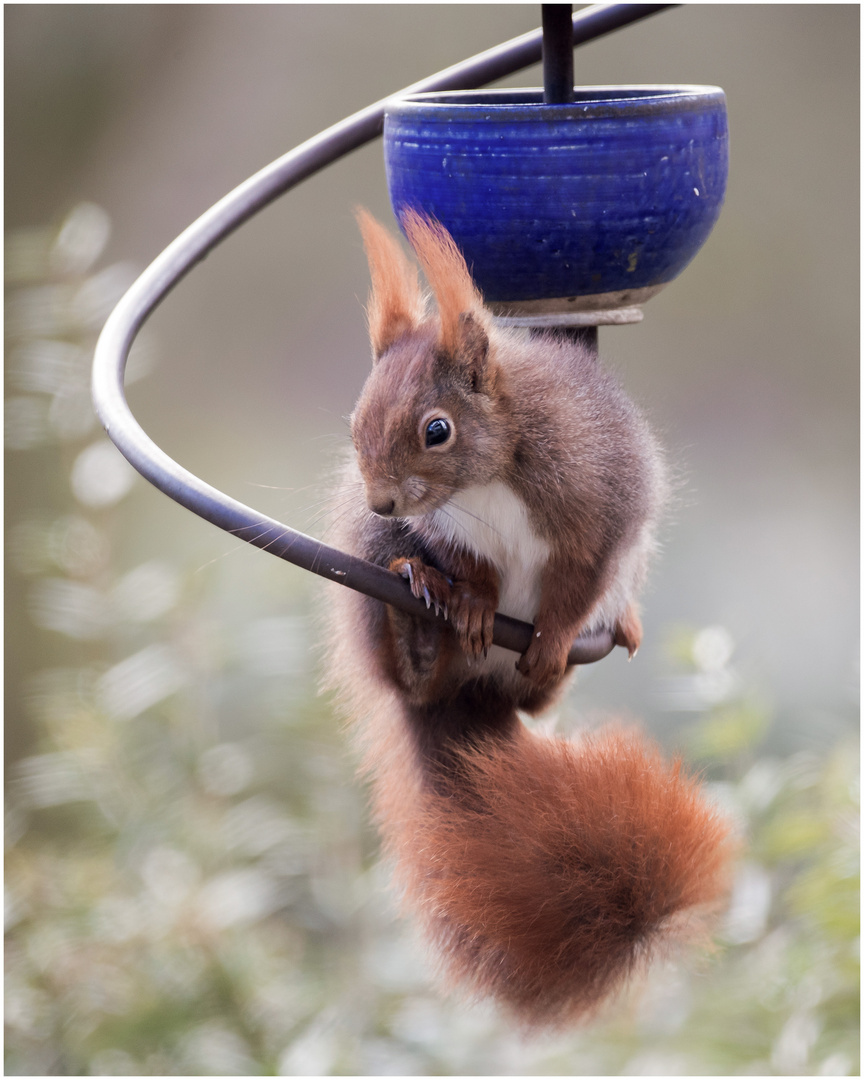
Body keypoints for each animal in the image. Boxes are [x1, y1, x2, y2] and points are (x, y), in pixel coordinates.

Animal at [321, 206, 730, 1023]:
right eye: (355, 419)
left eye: (436, 428)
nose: (382, 501)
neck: (489, 472)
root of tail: (472, 697)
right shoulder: (451, 532)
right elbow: (473, 570)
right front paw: (471, 604)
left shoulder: (594, 516)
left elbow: (574, 586)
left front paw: (553, 637)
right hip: (381, 576)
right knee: (413, 680)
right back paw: (423, 628)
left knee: (541, 696)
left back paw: (577, 648)